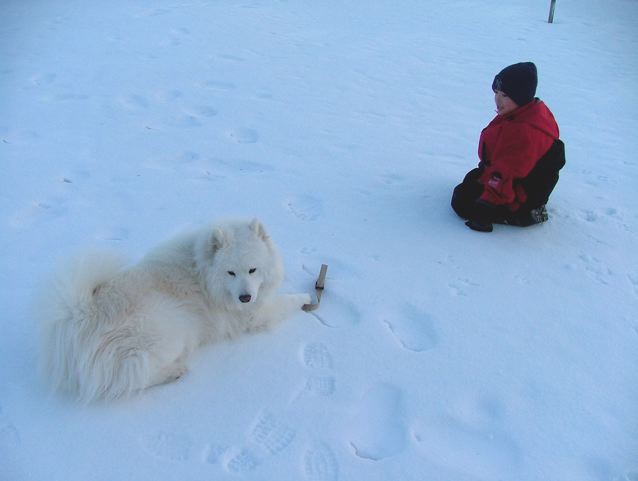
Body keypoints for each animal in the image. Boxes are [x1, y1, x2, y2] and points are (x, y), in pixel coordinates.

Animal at [37, 219, 312, 404]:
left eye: (252, 270)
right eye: (231, 272)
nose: (245, 297)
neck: (203, 271)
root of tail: (82, 315)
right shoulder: (253, 315)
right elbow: (285, 302)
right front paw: (306, 297)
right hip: (169, 330)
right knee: (133, 377)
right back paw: (174, 371)